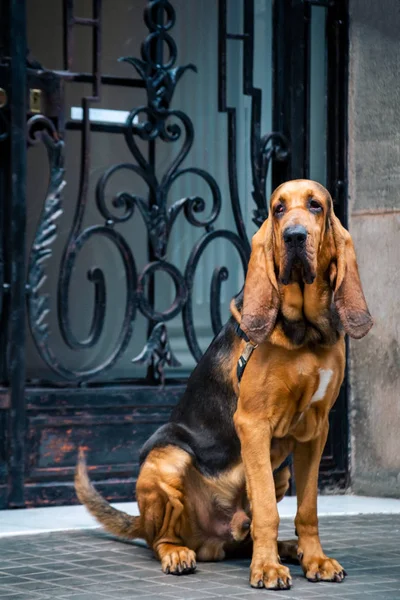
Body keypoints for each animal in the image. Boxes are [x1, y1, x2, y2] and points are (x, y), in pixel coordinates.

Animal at [76, 178, 374, 592]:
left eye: (315, 205)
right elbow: (266, 509)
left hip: (281, 471)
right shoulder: (253, 424)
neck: (305, 335)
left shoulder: (316, 430)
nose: (294, 236)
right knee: (161, 538)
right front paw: (266, 569)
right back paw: (180, 554)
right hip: (167, 459)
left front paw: (315, 559)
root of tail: (214, 539)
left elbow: (308, 509)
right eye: (278, 209)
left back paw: (291, 549)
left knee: (247, 533)